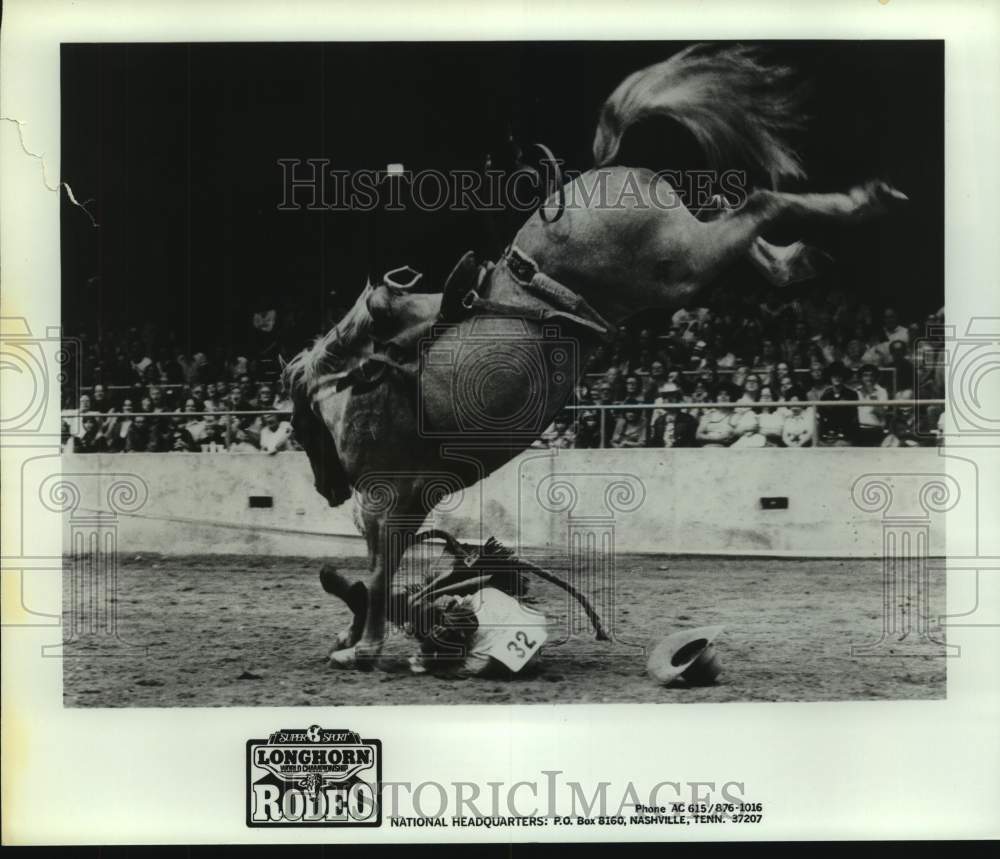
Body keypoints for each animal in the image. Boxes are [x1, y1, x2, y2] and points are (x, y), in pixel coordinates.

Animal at [282, 43, 908, 668]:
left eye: (301, 432)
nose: (328, 490)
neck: (362, 389)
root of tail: (598, 176)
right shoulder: (398, 507)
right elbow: (377, 577)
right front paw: (354, 636)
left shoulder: (392, 503)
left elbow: (379, 576)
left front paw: (361, 647)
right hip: (682, 259)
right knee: (737, 212)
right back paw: (800, 253)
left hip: (676, 267)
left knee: (758, 202)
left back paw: (863, 202)